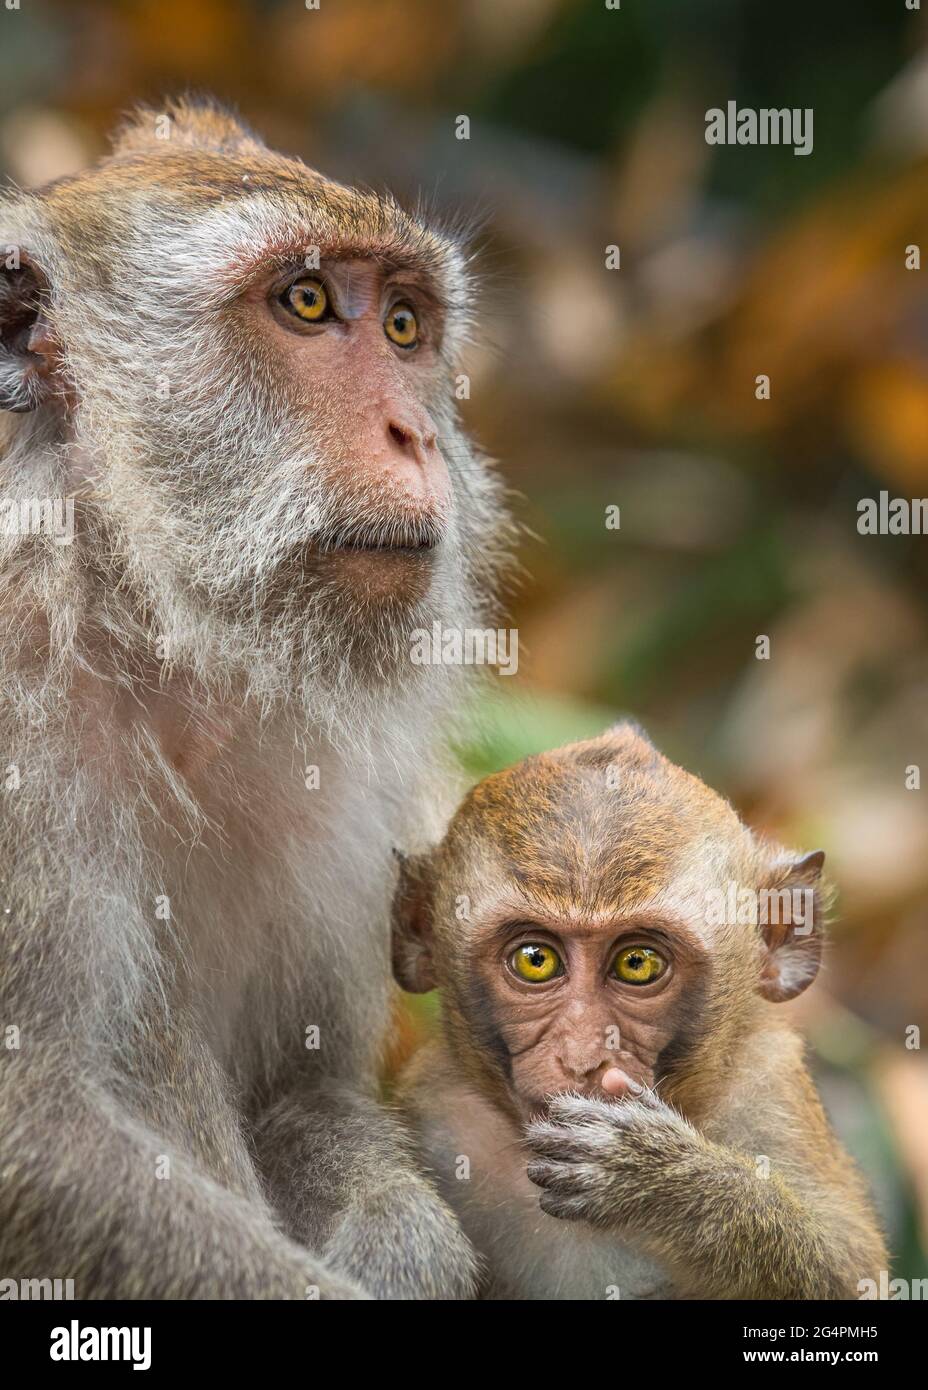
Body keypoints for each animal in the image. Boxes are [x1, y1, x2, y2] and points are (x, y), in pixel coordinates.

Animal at [0, 97, 514, 1298]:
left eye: (407, 327)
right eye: (308, 303)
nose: (418, 435)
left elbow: (305, 1086)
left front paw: (404, 1248)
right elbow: (32, 1131)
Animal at [392, 723, 888, 1300]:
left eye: (637, 963)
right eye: (536, 960)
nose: (582, 1057)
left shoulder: (770, 1088)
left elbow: (849, 1268)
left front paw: (661, 1178)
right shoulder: (436, 1108)